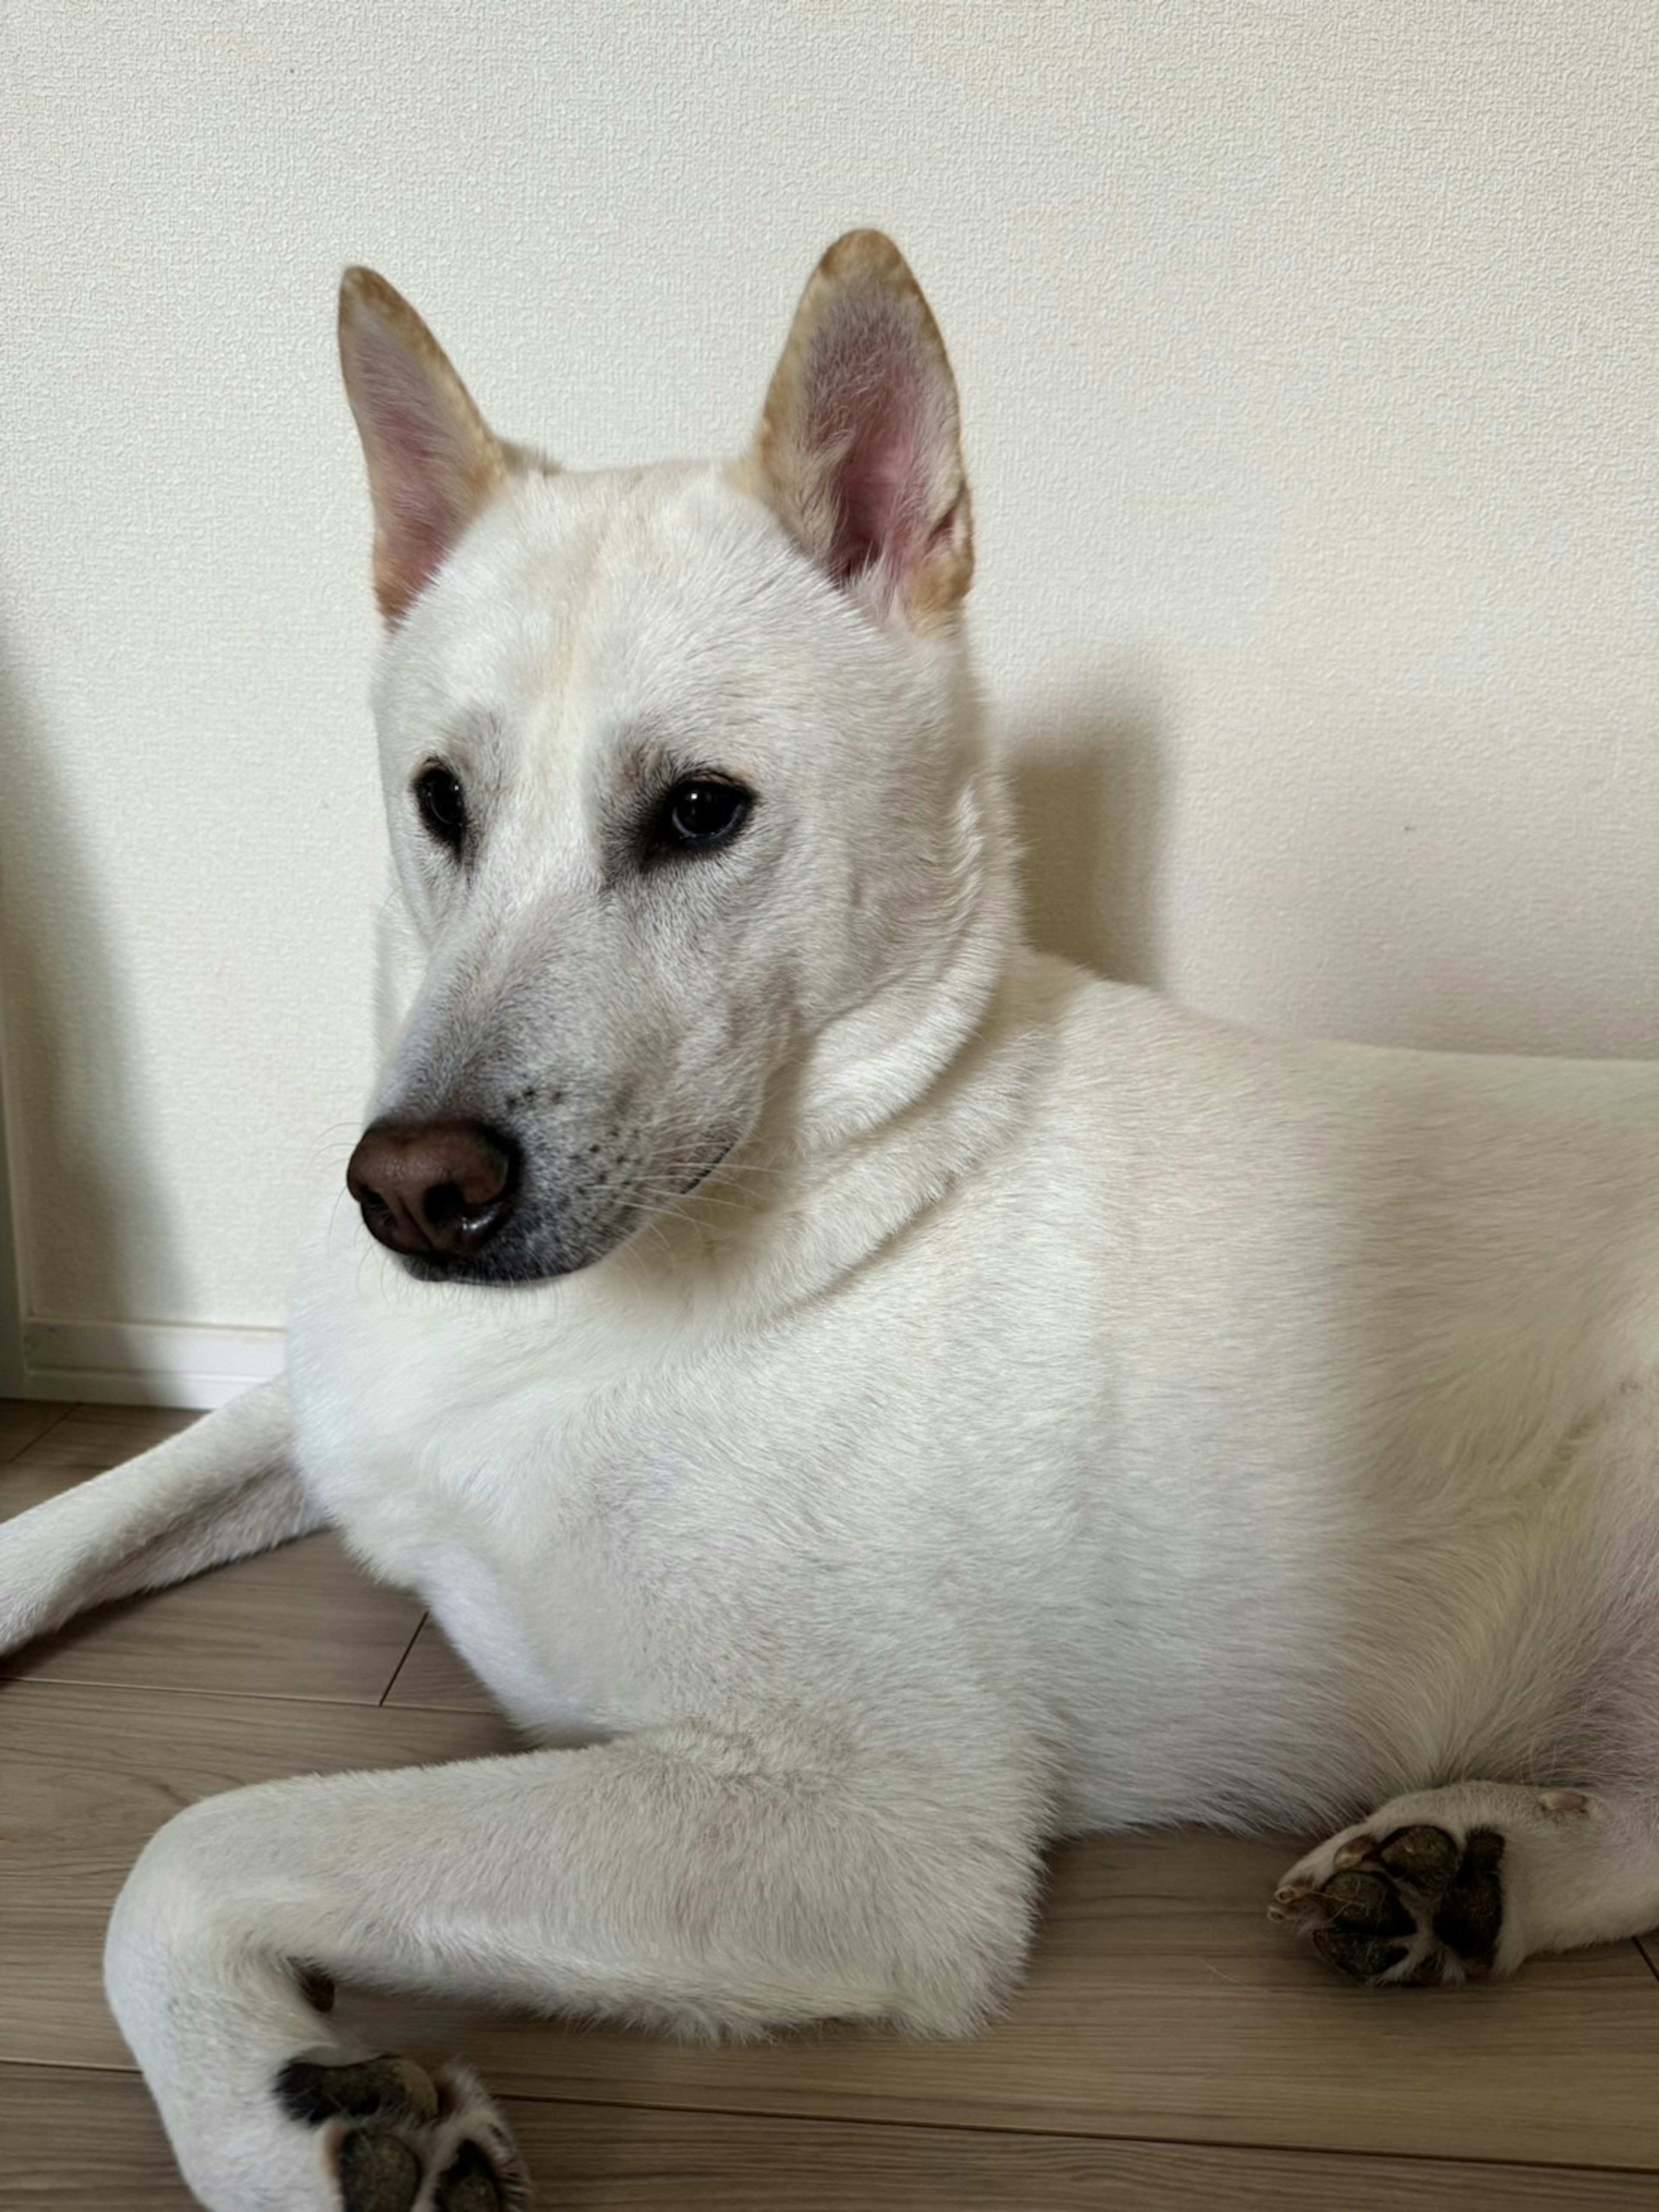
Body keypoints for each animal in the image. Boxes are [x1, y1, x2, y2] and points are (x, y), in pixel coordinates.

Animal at [3, 229, 1659, 2212]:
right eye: (441, 803)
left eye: (699, 812)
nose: (412, 1190)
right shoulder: (322, 1395)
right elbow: (97, 1506)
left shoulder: (873, 1821)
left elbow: (192, 1850)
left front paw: (286, 2127)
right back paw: (1471, 1873)